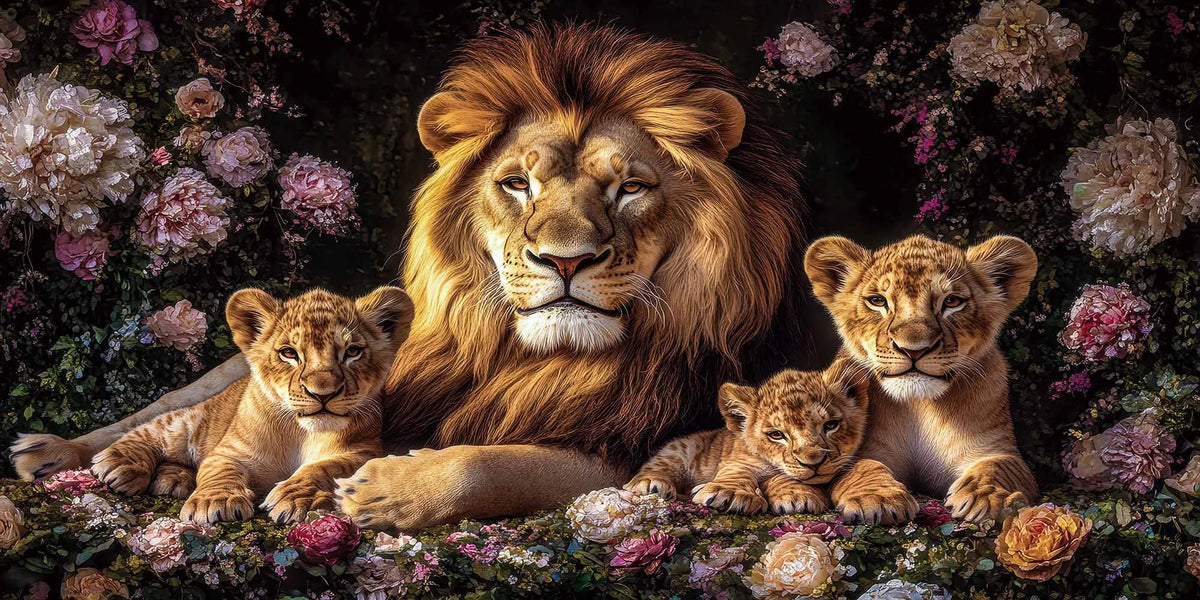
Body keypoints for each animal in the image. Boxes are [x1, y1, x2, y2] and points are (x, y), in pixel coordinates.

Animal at [89, 287, 412, 525]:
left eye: (353, 352)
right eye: (289, 353)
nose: (323, 393)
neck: (301, 433)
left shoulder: (366, 451)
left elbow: (326, 467)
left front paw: (296, 497)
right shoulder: (229, 450)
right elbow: (219, 470)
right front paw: (215, 501)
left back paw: (173, 479)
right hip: (190, 423)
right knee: (153, 427)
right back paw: (120, 462)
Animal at [625, 365, 868, 516]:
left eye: (831, 425)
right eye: (776, 435)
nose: (813, 462)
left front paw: (797, 496)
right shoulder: (738, 460)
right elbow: (737, 471)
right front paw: (729, 494)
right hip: (678, 449)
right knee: (659, 465)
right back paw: (650, 483)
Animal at [804, 234, 1040, 524]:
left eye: (952, 301)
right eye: (877, 300)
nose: (914, 349)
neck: (919, 406)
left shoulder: (999, 449)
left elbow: (999, 466)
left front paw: (986, 496)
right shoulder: (850, 452)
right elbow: (864, 466)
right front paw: (877, 499)